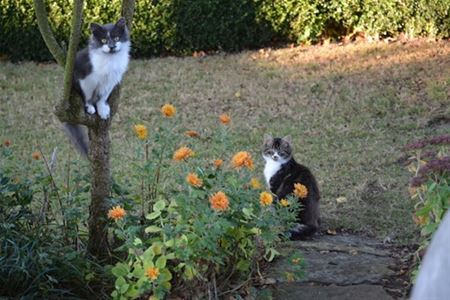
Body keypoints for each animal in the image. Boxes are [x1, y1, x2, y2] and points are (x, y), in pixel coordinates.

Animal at [63, 17, 130, 157]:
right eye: (104, 40)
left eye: (116, 38)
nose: (111, 47)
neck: (110, 59)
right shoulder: (85, 79)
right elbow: (87, 96)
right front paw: (90, 107)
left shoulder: (111, 81)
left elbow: (102, 97)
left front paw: (103, 109)